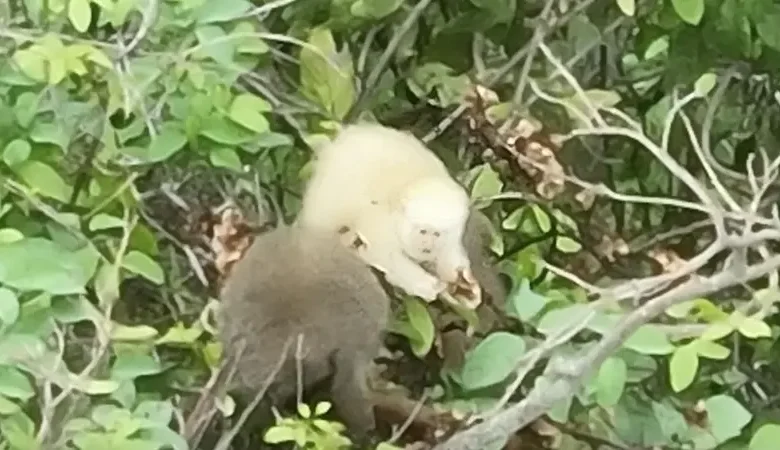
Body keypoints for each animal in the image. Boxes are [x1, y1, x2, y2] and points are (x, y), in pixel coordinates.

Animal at [296, 123, 475, 302]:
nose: (427, 246)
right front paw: (428, 286)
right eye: (423, 231)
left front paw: (462, 281)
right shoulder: (382, 222)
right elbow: (384, 254)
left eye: (437, 234)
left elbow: (449, 252)